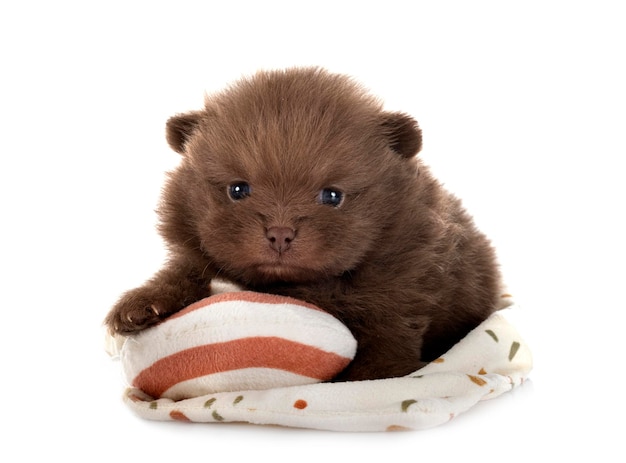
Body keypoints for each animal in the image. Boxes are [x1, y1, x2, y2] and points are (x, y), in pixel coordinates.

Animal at [105, 67, 500, 382]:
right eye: (238, 189)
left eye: (332, 195)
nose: (280, 234)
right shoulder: (194, 254)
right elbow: (181, 271)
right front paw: (141, 304)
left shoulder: (401, 290)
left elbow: (386, 337)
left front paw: (372, 378)